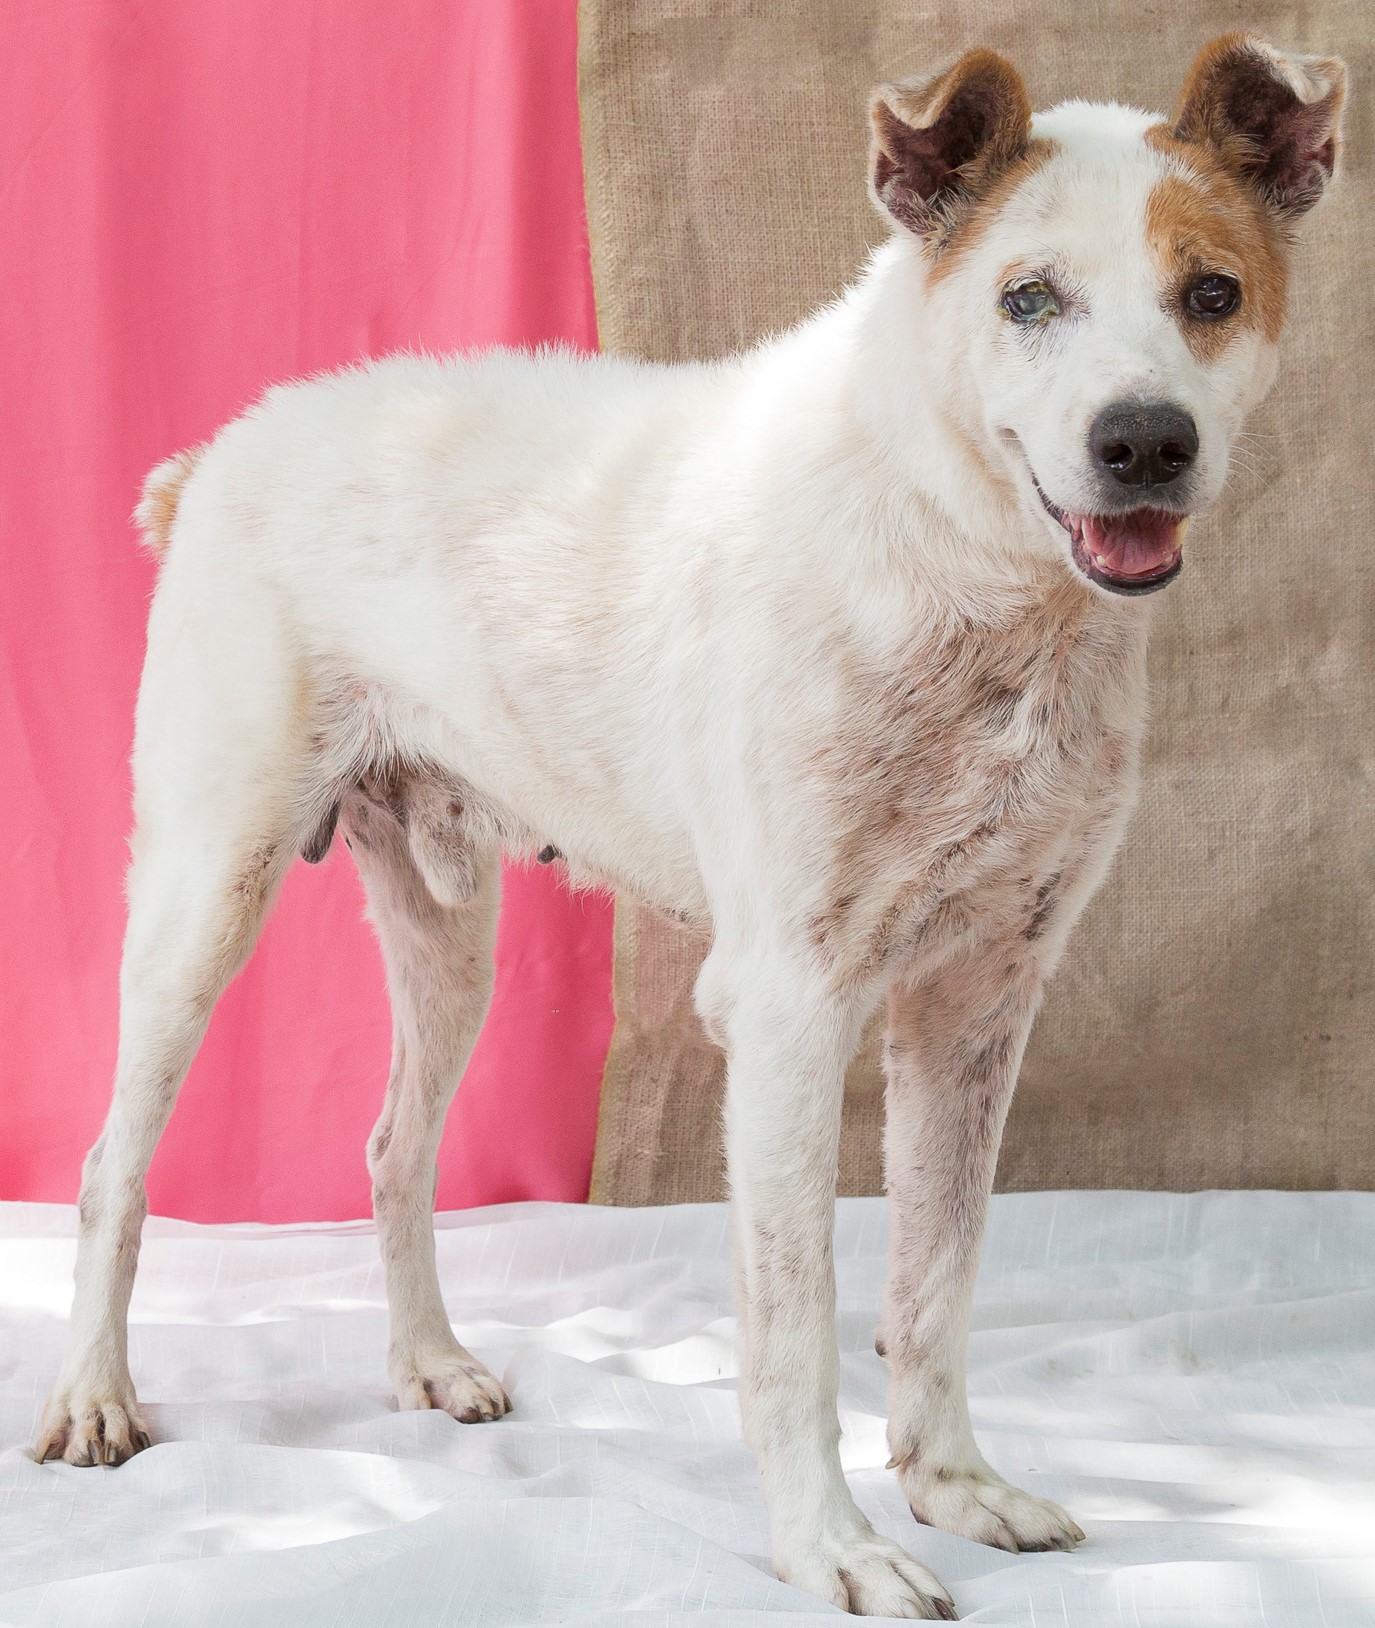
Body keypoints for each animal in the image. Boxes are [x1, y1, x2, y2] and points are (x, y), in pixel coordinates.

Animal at [34, 31, 1340, 1621]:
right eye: (1027, 298)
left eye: (1209, 293)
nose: (1143, 441)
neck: (965, 581)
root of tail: (223, 448)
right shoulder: (786, 1007)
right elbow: (796, 1316)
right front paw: (829, 1545)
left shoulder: (978, 1002)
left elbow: (935, 1280)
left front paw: (953, 1486)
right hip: (202, 898)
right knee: (112, 1168)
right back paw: (95, 1397)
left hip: (446, 931)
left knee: (394, 1148)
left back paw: (430, 1364)